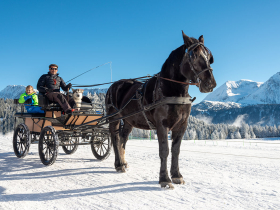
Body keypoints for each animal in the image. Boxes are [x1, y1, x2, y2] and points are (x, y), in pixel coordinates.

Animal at [105, 30, 217, 189]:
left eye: (209, 57)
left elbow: (176, 150)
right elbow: (164, 150)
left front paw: (177, 175)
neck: (174, 91)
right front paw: (165, 179)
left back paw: (124, 162)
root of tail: (113, 86)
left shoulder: (181, 126)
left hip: (128, 121)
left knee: (122, 139)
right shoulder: (162, 125)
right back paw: (119, 165)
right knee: (115, 138)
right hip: (113, 118)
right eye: (193, 55)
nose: (210, 84)